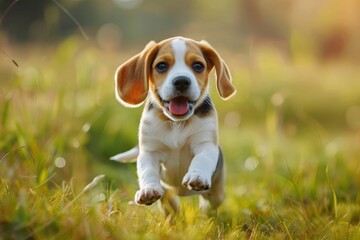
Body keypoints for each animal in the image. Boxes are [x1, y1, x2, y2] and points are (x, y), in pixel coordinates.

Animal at [112, 36, 236, 215]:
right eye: (161, 66)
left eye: (198, 66)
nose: (182, 81)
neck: (177, 124)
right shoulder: (149, 152)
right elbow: (147, 170)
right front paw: (148, 190)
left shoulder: (206, 144)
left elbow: (202, 159)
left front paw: (197, 176)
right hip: (168, 195)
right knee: (170, 204)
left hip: (217, 193)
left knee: (210, 203)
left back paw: (204, 212)